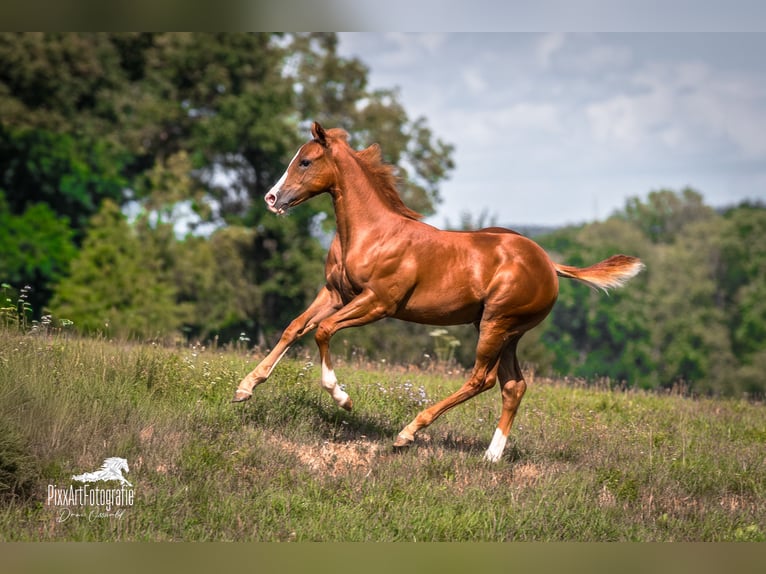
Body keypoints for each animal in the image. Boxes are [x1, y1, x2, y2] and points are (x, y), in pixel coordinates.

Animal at [233, 122, 644, 462]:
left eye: (305, 161)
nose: (271, 199)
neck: (372, 234)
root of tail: (549, 264)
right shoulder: (335, 293)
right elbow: (294, 327)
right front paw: (245, 387)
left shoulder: (377, 303)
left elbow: (323, 330)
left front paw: (343, 398)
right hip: (506, 331)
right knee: (514, 386)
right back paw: (491, 456)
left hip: (497, 323)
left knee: (483, 379)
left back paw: (408, 432)